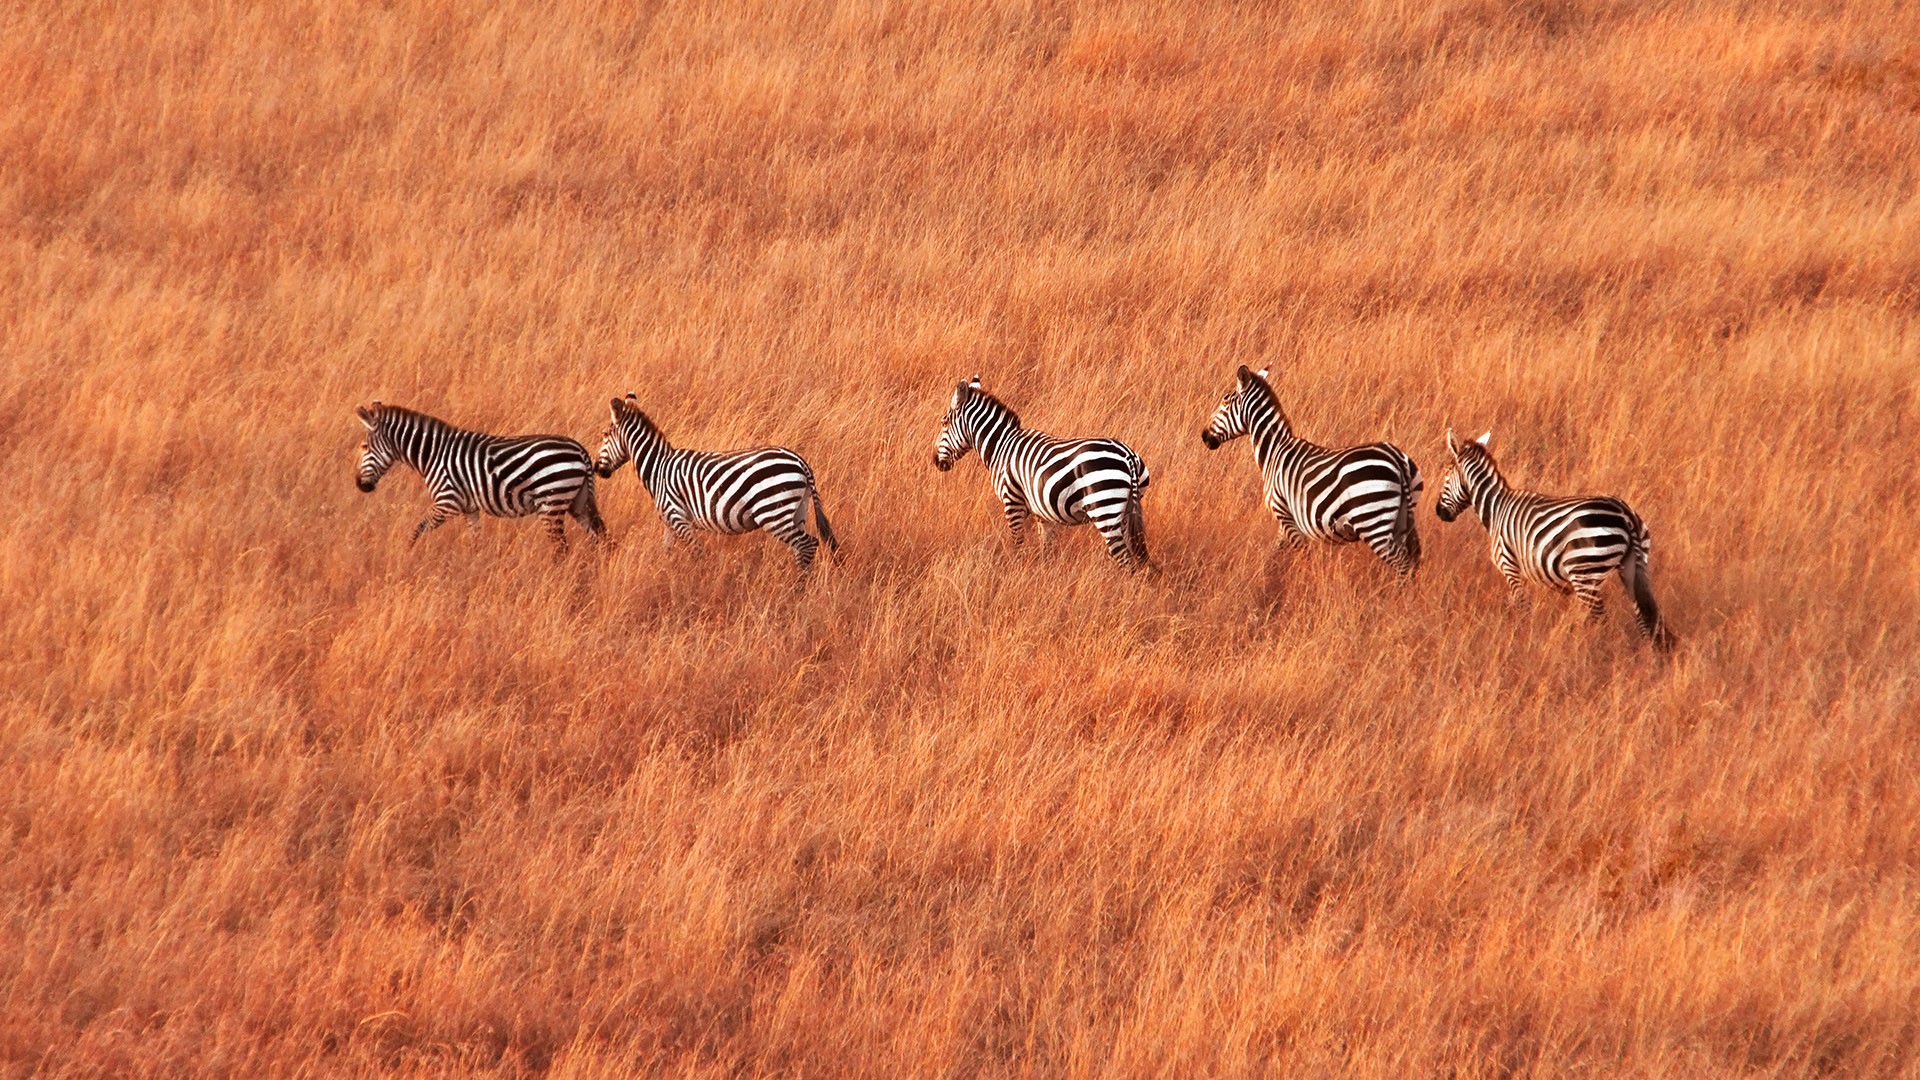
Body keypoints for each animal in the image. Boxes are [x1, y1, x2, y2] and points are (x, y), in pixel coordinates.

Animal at [354, 401, 606, 551]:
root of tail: (580, 450)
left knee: (561, 548)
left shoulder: (447, 503)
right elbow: (476, 542)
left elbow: (417, 531)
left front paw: (406, 555)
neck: (432, 455)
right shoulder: (469, 509)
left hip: (551, 502)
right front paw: (476, 567)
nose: (359, 485)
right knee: (601, 538)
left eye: (364, 447)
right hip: (577, 502)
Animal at [594, 393, 838, 570]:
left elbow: (697, 552)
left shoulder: (678, 518)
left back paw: (798, 589)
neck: (658, 468)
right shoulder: (669, 523)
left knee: (807, 544)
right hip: (797, 510)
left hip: (773, 512)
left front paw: (699, 580)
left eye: (605, 435)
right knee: (803, 547)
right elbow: (667, 552)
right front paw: (665, 575)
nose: (597, 469)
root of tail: (800, 461)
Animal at [933, 375, 1151, 570]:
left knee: (1124, 559)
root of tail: (1128, 457)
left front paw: (1018, 571)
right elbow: (1046, 548)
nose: (935, 461)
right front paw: (1045, 575)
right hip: (1125, 510)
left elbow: (1018, 543)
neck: (1001, 446)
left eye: (944, 423)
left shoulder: (1012, 502)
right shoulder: (1042, 513)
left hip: (1105, 508)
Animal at [1200, 365, 1422, 575]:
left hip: (1372, 522)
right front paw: (1266, 571)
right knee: (1410, 562)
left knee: (1402, 564)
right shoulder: (1287, 519)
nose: (1204, 436)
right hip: (1401, 519)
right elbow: (1277, 549)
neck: (1274, 449)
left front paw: (1303, 579)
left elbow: (1303, 554)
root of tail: (1396, 459)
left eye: (1225, 403)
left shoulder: (1283, 512)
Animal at [1435, 428, 1673, 649]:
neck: (1495, 509)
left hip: (1585, 571)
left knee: (1600, 618)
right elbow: (1514, 606)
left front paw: (1522, 637)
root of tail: (1626, 515)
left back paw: (1588, 648)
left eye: (1446, 477)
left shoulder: (1509, 566)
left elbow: (1522, 607)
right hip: (1632, 567)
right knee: (1644, 618)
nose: (1439, 513)